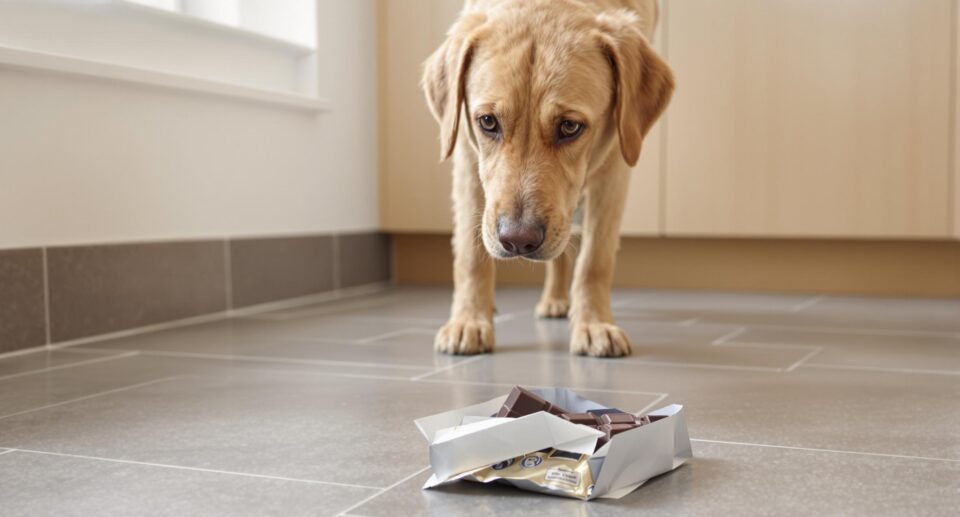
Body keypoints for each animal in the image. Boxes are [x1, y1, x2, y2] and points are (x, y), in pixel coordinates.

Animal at [424, 0, 672, 354]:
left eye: (570, 126)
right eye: (488, 121)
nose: (518, 240)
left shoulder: (616, 163)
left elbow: (594, 259)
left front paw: (593, 324)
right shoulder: (466, 157)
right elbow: (470, 256)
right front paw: (469, 320)